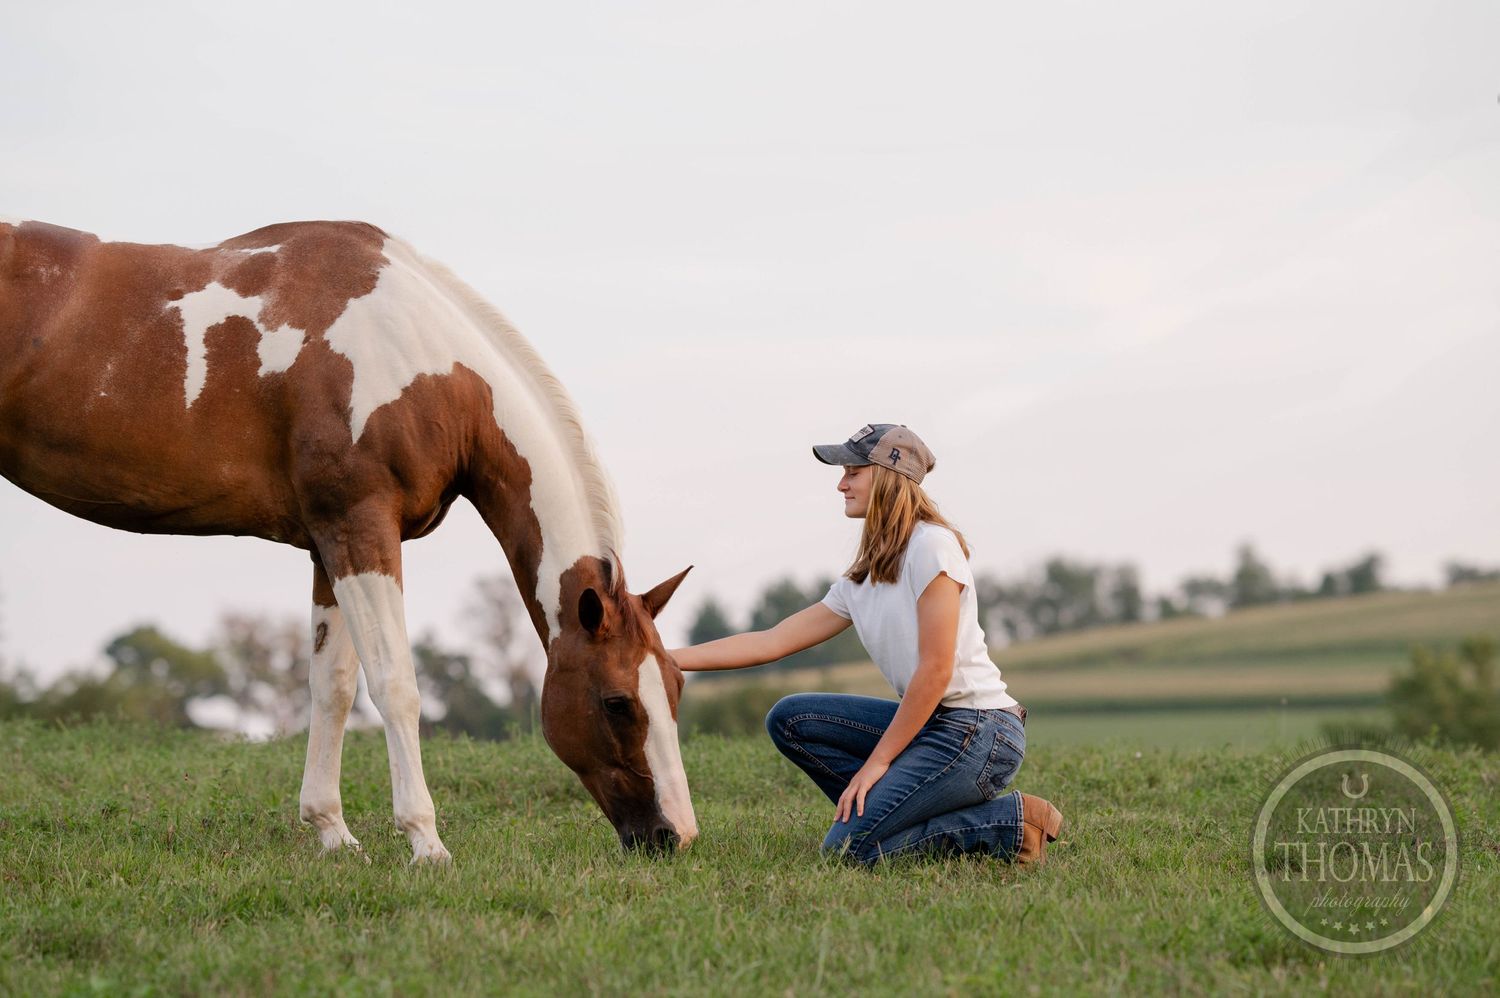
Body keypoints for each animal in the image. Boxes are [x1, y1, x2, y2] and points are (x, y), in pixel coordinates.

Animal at [0, 216, 697, 862]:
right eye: (616, 703)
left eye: (676, 688)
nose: (677, 836)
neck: (414, 353)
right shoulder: (361, 528)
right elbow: (395, 685)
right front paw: (425, 841)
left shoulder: (328, 543)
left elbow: (331, 686)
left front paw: (331, 831)